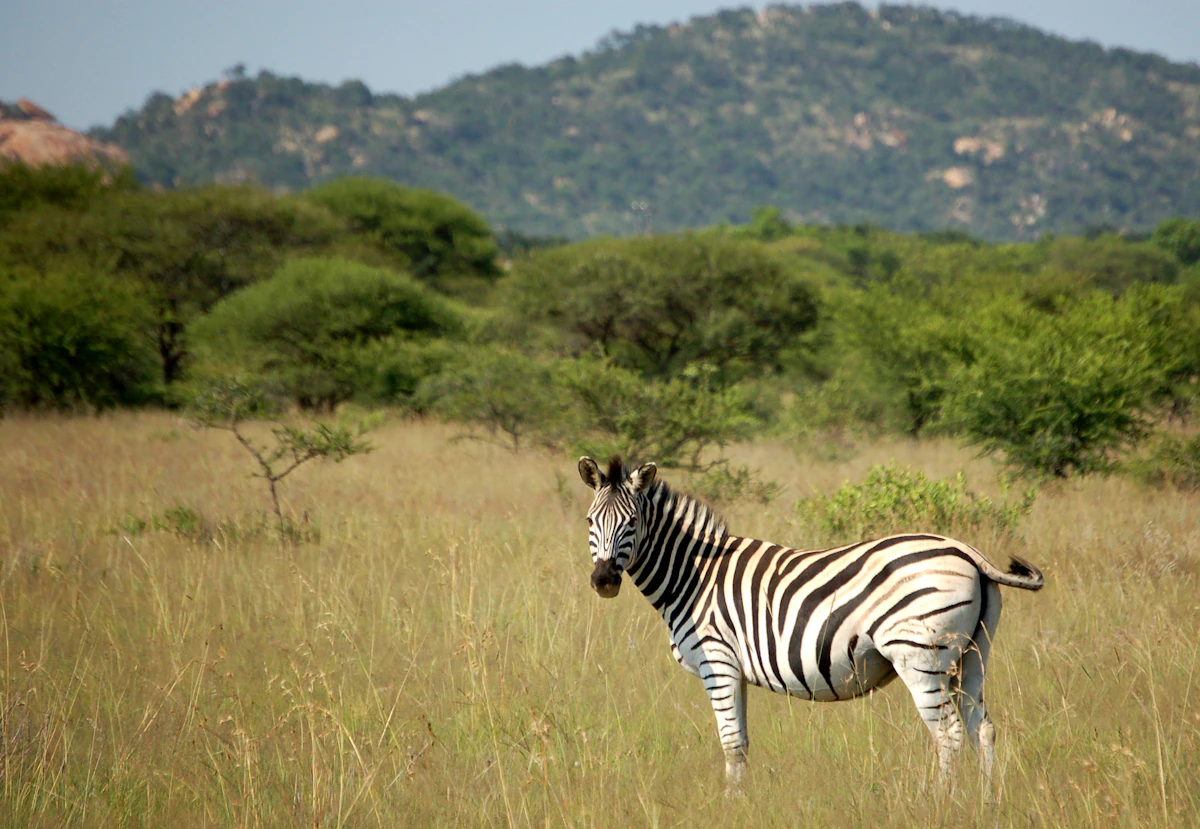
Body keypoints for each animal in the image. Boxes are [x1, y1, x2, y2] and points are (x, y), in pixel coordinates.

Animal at [578, 456, 1043, 789]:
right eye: (589, 522)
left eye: (632, 523)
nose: (603, 581)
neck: (692, 577)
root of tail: (968, 551)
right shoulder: (736, 671)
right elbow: (742, 745)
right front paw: (741, 804)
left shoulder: (717, 663)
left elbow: (730, 744)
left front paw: (730, 803)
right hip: (973, 655)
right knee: (983, 729)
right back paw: (985, 804)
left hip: (921, 658)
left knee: (948, 736)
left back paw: (939, 805)